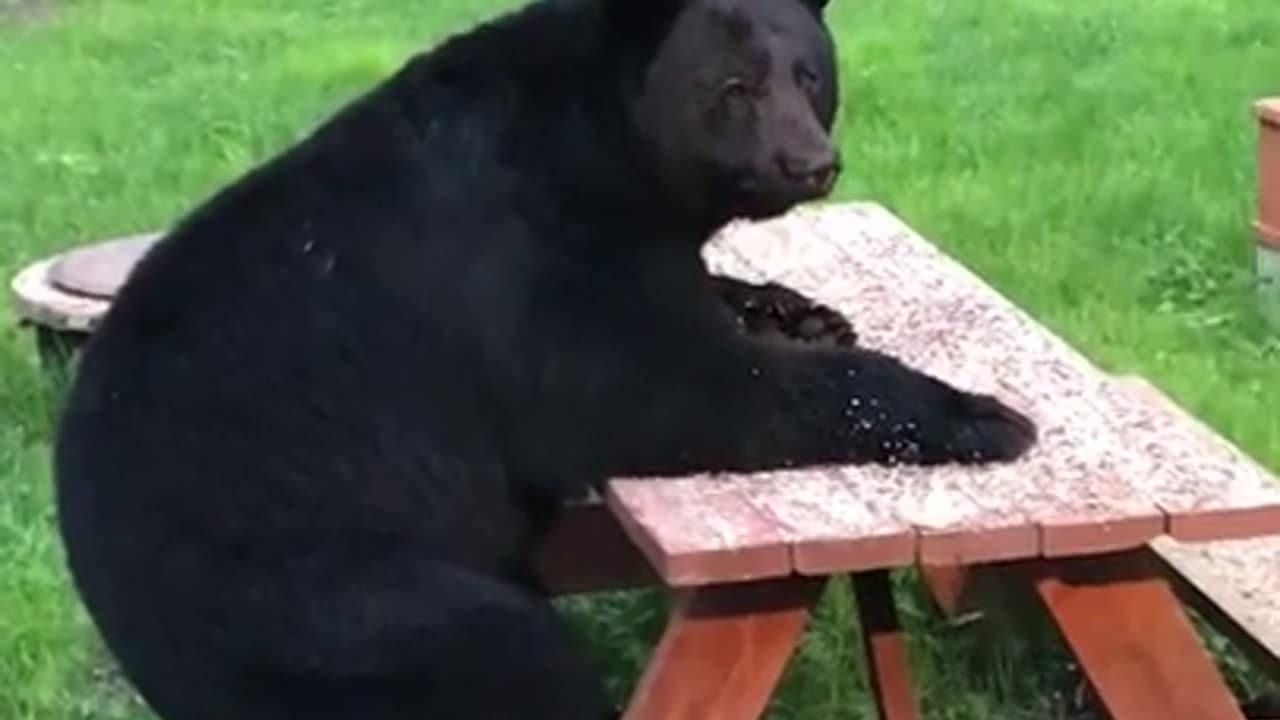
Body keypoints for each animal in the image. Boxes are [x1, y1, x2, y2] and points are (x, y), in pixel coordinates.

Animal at [49, 0, 1034, 712]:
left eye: (810, 74)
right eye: (732, 87)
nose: (810, 162)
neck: (598, 145)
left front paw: (801, 310)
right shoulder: (523, 254)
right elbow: (663, 389)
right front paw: (984, 414)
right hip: (325, 601)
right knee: (509, 657)